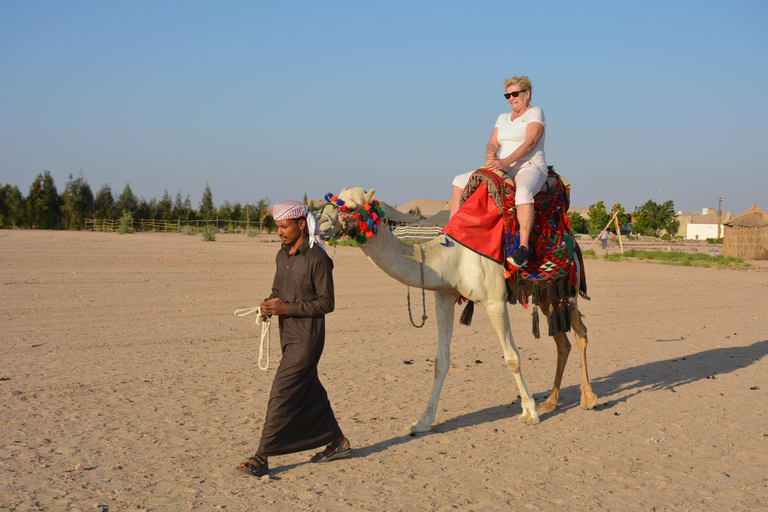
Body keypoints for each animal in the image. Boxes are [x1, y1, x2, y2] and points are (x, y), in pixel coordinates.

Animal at [318, 188, 600, 432]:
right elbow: (441, 361)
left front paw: (529, 412)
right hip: (545, 294)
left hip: (569, 289)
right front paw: (422, 421)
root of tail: (573, 240)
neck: (447, 257)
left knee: (581, 333)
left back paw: (588, 398)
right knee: (562, 342)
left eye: (350, 207)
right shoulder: (443, 296)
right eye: (332, 199)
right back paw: (551, 401)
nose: (320, 226)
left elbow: (512, 357)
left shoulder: (495, 301)